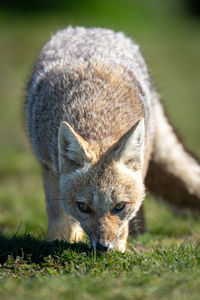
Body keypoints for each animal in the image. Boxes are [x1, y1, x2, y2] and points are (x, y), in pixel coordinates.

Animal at [25, 25, 200, 252]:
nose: (103, 247)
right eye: (83, 207)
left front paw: (119, 247)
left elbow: (127, 219)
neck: (96, 110)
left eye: (119, 206)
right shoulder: (48, 164)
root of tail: (91, 28)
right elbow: (58, 215)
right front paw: (60, 239)